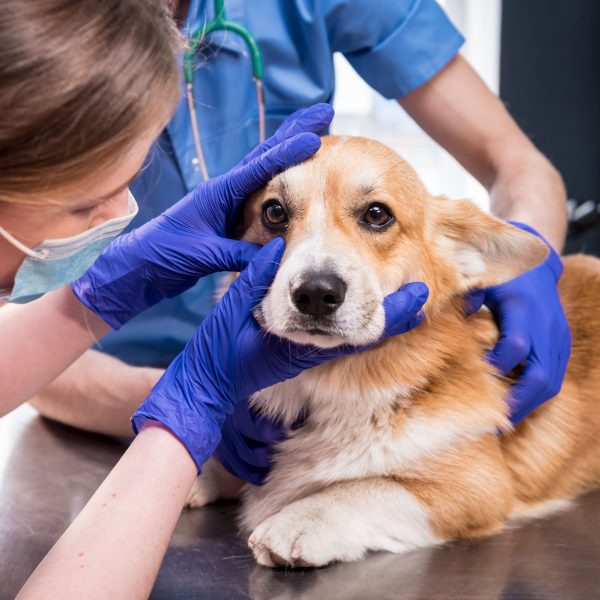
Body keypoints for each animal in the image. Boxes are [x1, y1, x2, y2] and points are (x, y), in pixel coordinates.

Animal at [188, 135, 600, 568]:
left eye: (377, 214)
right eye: (274, 212)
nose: (315, 293)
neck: (324, 384)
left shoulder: (477, 486)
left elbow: (365, 488)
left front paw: (300, 519)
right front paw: (204, 471)